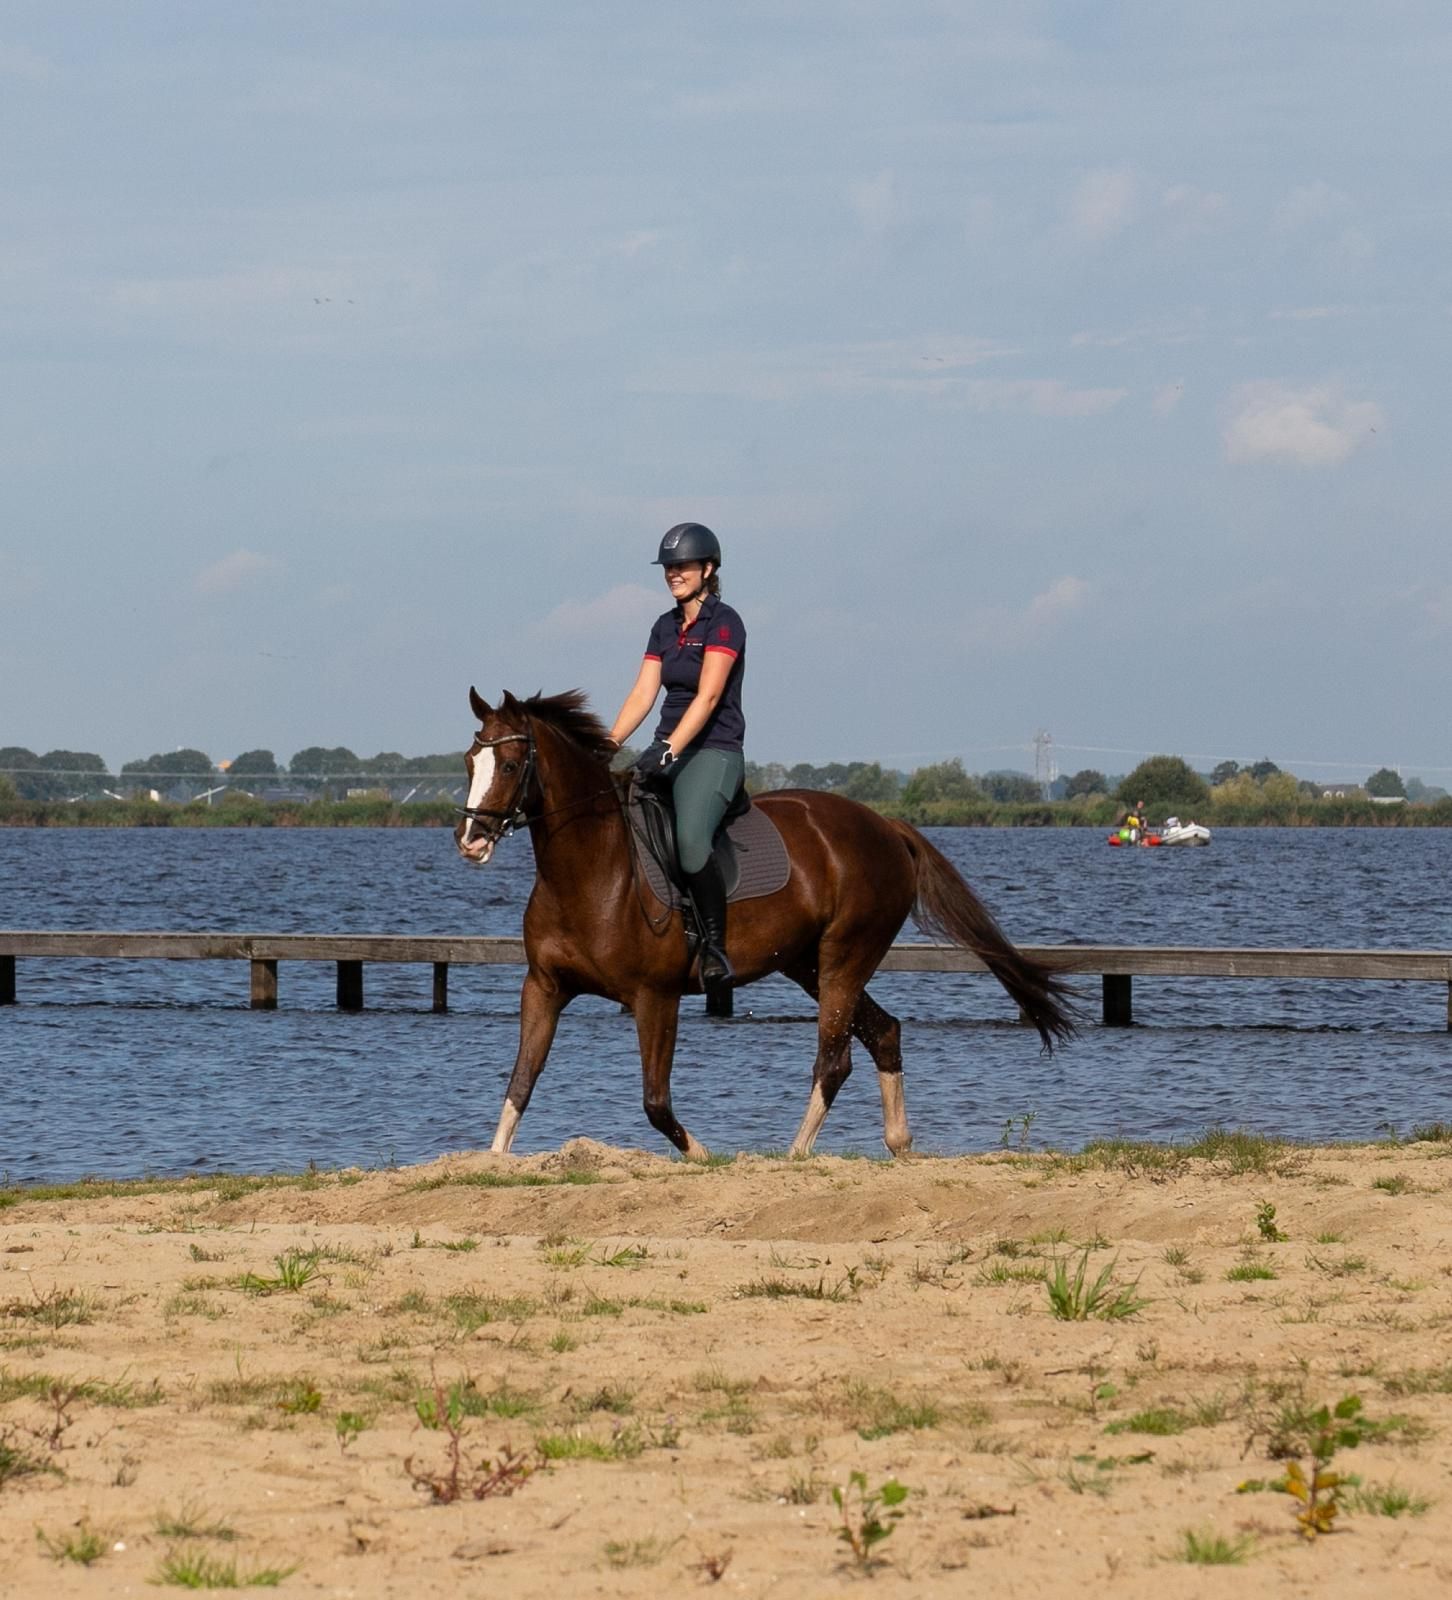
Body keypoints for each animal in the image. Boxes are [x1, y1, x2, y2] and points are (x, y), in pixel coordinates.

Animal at [454, 687, 1075, 1161]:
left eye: (510, 765)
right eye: (468, 762)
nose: (471, 841)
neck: (591, 869)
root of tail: (886, 825)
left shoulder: (655, 997)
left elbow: (655, 1102)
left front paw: (702, 1156)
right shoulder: (543, 987)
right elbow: (520, 1083)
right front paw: (492, 1161)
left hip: (845, 958)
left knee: (835, 1058)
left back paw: (796, 1154)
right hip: (807, 965)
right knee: (884, 1032)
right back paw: (899, 1144)